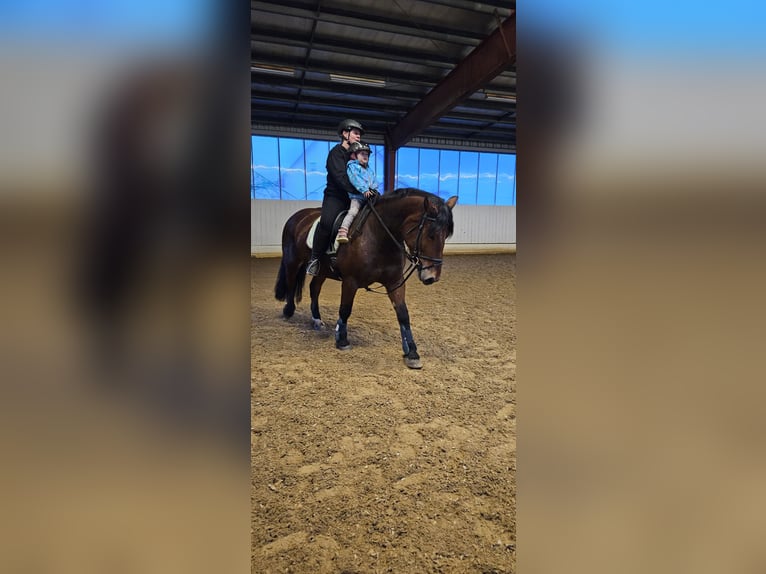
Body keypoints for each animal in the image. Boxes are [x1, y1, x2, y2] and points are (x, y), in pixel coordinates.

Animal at [274, 189, 456, 368]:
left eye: (446, 235)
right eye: (431, 234)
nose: (432, 276)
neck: (378, 236)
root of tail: (298, 216)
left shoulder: (395, 282)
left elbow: (403, 314)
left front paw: (412, 352)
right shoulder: (350, 281)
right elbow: (345, 309)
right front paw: (342, 340)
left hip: (322, 271)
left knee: (314, 289)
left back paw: (317, 320)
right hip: (292, 261)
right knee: (291, 282)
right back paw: (288, 311)